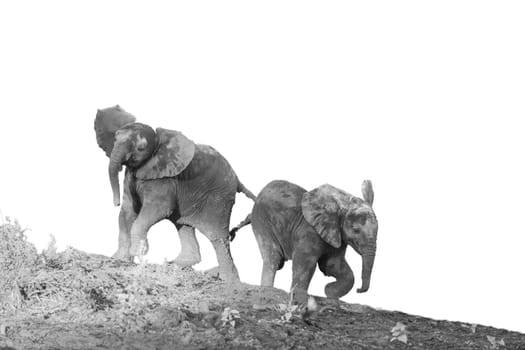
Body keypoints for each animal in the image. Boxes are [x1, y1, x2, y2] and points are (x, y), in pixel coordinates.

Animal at [231, 180, 378, 300]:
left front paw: (329, 293)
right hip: (262, 221)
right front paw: (298, 295)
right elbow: (305, 262)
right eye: (356, 230)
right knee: (273, 258)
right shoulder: (310, 231)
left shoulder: (337, 236)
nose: (359, 290)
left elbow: (333, 264)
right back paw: (267, 291)